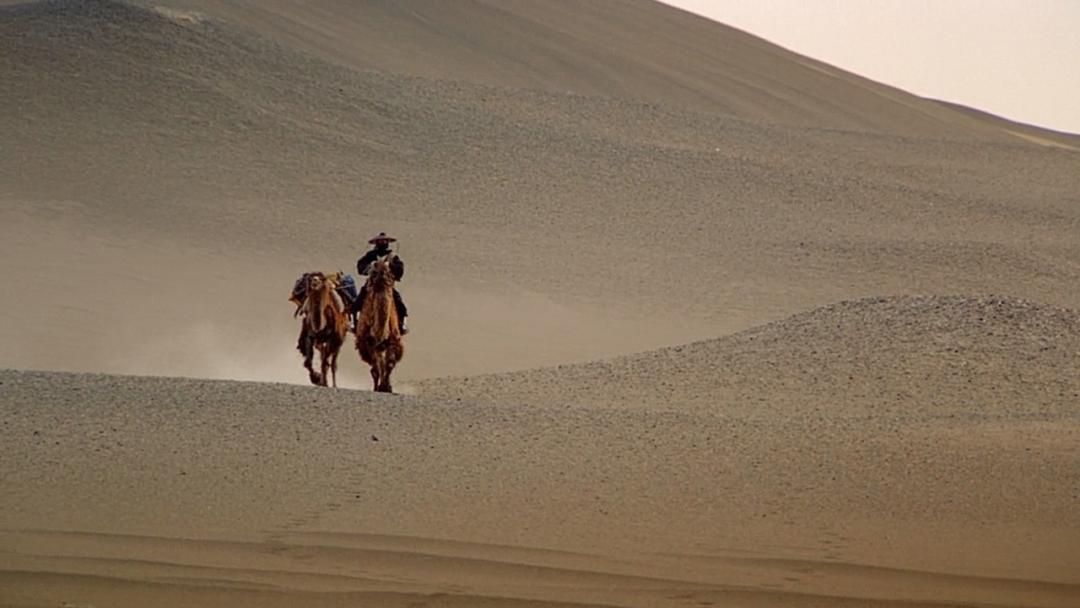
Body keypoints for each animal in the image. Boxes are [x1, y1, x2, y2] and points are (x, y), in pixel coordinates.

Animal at [355, 257, 405, 393]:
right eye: (372, 271)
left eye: (391, 272)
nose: (381, 273)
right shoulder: (367, 343)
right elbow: (376, 368)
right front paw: (380, 387)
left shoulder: (394, 341)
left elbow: (389, 363)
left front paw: (386, 387)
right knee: (376, 365)